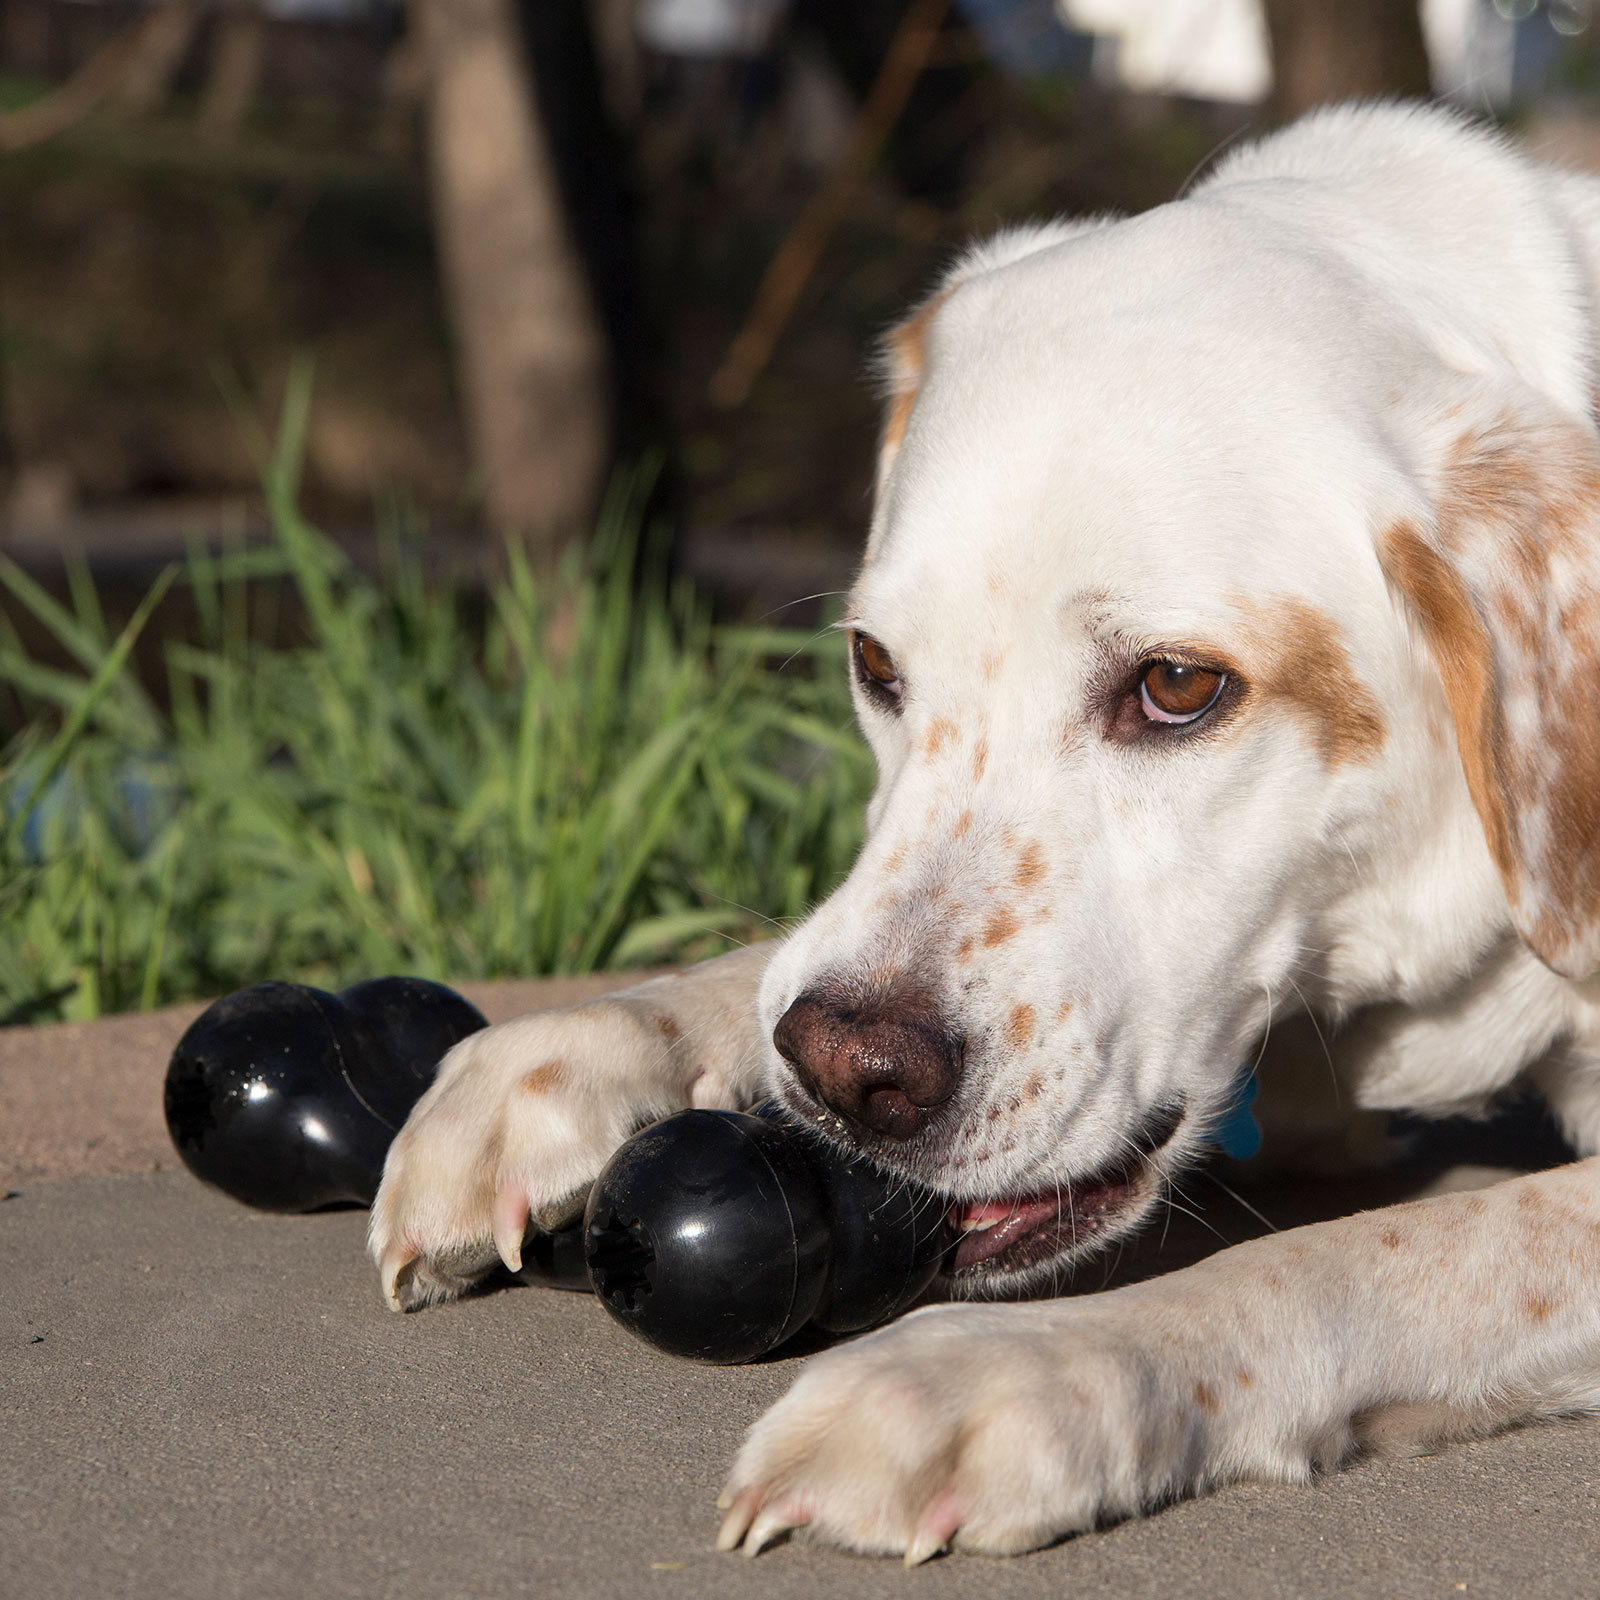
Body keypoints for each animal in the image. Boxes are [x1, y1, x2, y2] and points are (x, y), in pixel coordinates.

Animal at [366, 106, 1600, 1568]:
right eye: (872, 662)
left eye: (1178, 686)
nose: (850, 1074)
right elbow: (766, 964)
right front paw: (577, 1047)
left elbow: (1377, 1247)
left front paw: (1017, 1370)